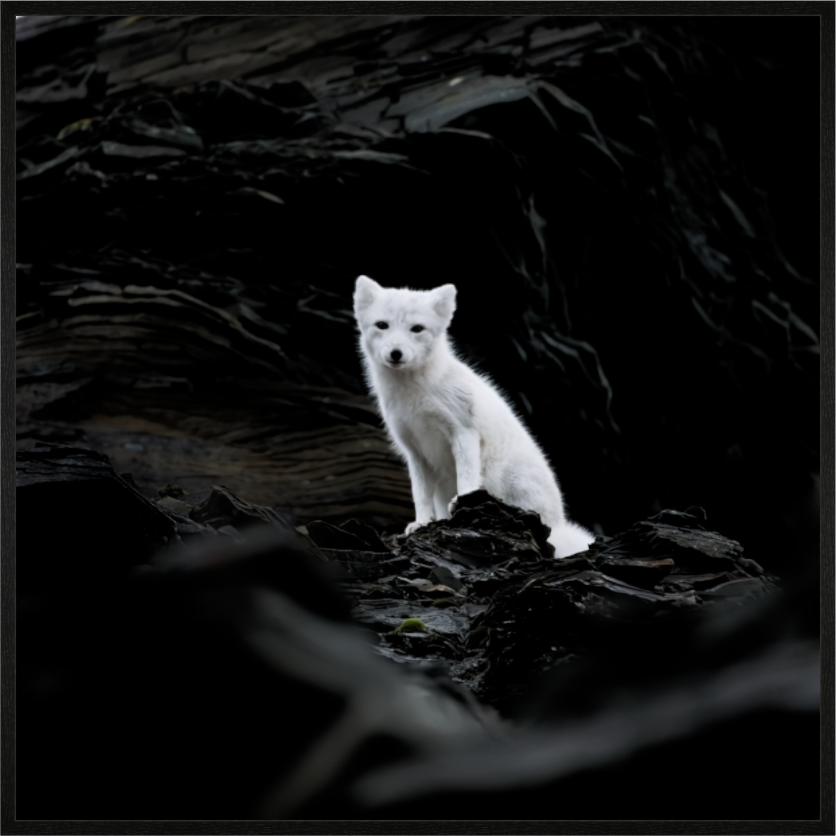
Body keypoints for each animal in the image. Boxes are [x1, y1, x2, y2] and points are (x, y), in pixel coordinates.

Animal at [352, 275, 595, 559]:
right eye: (382, 325)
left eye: (417, 329)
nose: (396, 353)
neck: (415, 394)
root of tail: (558, 524)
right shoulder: (414, 450)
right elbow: (419, 494)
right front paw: (422, 522)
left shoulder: (463, 431)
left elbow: (466, 477)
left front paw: (462, 504)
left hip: (504, 474)